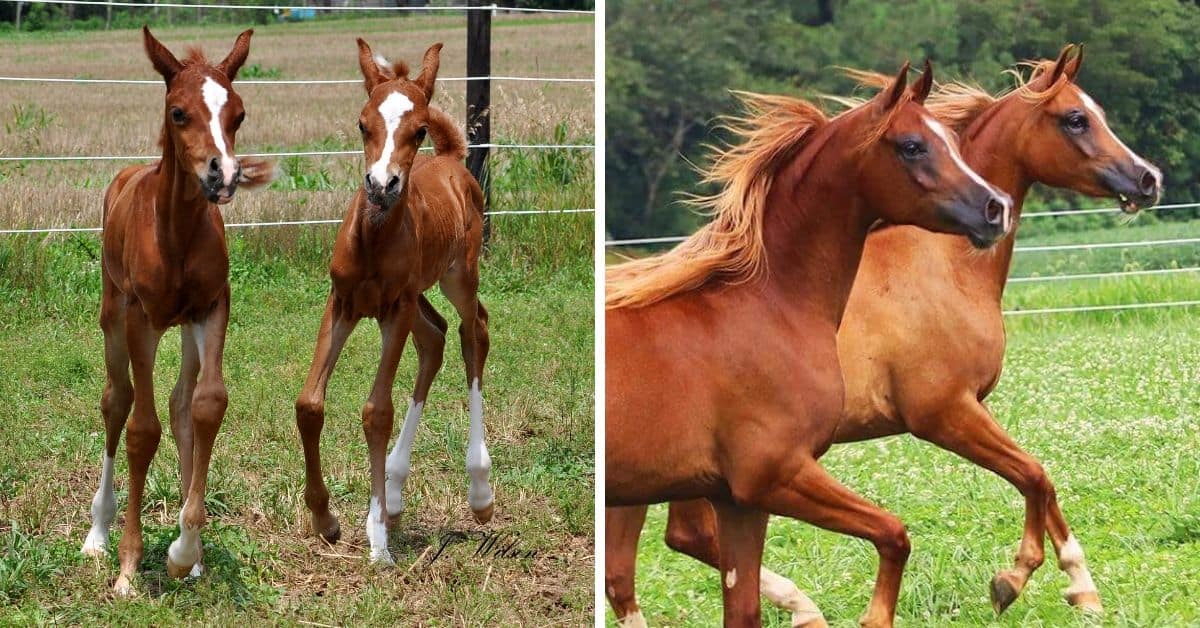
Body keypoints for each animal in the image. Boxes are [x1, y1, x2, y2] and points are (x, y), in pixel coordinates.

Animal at [81, 28, 273, 600]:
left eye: (238, 113)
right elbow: (141, 431)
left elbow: (207, 405)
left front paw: (184, 551)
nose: (223, 174)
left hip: (184, 327)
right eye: (178, 112)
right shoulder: (140, 318)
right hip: (112, 315)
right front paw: (128, 567)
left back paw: (194, 559)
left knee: (180, 403)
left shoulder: (212, 307)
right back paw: (98, 533)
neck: (177, 233)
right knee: (116, 402)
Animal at [294, 41, 492, 566]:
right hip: (418, 296)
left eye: (417, 129)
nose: (382, 185)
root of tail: (451, 158)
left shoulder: (393, 311)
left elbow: (376, 411)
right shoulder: (342, 303)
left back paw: (479, 491)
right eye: (363, 123)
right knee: (436, 338)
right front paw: (326, 519)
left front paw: (378, 537)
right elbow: (309, 404)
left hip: (457, 278)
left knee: (472, 332)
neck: (374, 243)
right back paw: (398, 494)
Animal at [609, 45, 1161, 628]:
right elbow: (1033, 475)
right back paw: (805, 607)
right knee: (678, 541)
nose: (1148, 179)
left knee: (649, 557)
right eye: (1076, 119)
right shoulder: (941, 411)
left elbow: (1041, 481)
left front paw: (1081, 589)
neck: (941, 263)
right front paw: (1020, 581)